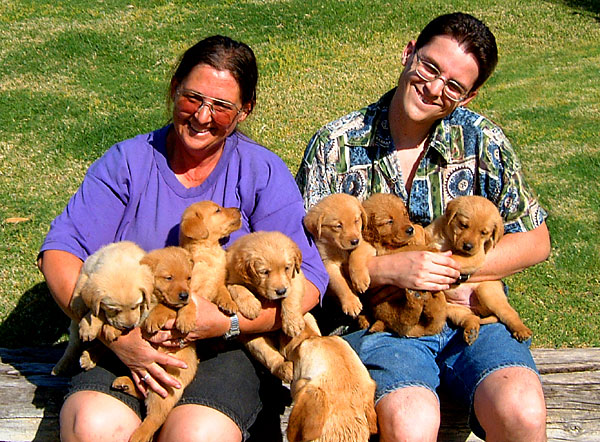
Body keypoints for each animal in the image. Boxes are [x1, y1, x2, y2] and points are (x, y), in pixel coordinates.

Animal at [52, 242, 154, 376]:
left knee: (103, 347)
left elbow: (99, 312)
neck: (120, 258)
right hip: (74, 328)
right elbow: (82, 283)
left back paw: (89, 357)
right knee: (72, 347)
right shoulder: (87, 268)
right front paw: (78, 305)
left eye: (136, 306)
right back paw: (60, 366)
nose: (129, 327)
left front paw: (90, 327)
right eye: (114, 310)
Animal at [112, 245, 197, 442]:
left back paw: (139, 435)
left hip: (165, 388)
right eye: (169, 277)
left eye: (188, 278)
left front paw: (179, 319)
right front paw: (110, 329)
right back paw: (125, 383)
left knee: (155, 417)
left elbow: (169, 307)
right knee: (143, 392)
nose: (184, 295)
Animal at [424, 195, 532, 344]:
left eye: (483, 233)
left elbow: (455, 257)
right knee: (470, 318)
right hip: (454, 309)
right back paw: (471, 332)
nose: (468, 246)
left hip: (487, 292)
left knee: (510, 313)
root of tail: (477, 309)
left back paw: (521, 330)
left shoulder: (476, 256)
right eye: (463, 225)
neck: (448, 239)